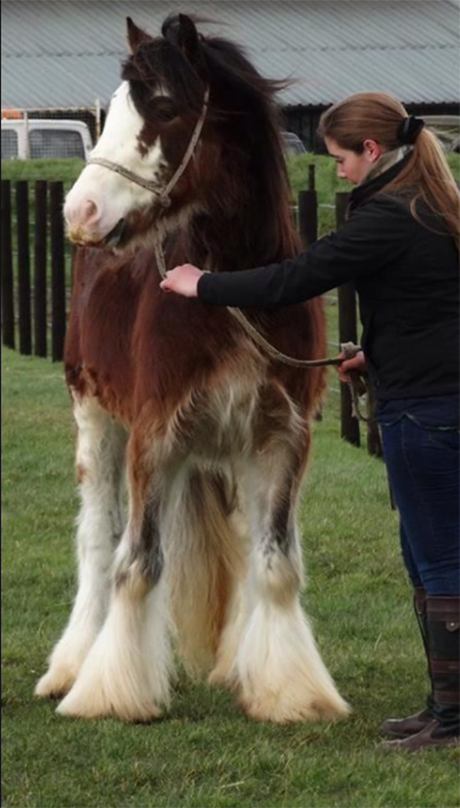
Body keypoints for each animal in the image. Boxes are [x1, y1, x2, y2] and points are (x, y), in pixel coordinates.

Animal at [35, 12, 348, 724]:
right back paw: (72, 665)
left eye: (163, 108)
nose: (80, 214)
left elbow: (275, 564)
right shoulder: (155, 436)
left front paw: (288, 691)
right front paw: (112, 692)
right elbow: (136, 564)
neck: (232, 290)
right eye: (115, 107)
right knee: (98, 541)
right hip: (96, 421)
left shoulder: (280, 438)